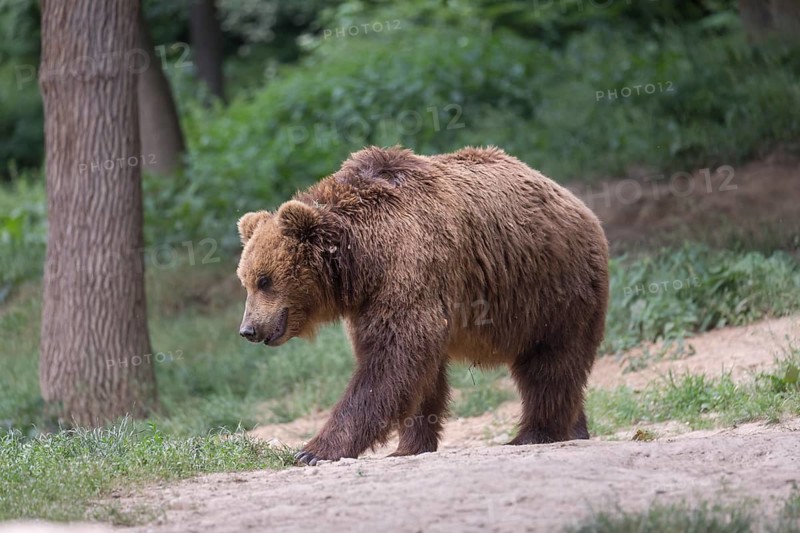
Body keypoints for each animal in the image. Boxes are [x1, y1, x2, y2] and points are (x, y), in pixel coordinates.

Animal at [236, 146, 609, 466]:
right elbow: (418, 373)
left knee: (551, 363)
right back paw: (576, 428)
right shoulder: (372, 301)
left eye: (265, 280)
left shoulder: (409, 268)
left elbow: (391, 361)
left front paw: (313, 450)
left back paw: (534, 433)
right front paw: (408, 446)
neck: (361, 257)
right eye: (246, 280)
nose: (248, 329)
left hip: (552, 288)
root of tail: (580, 205)